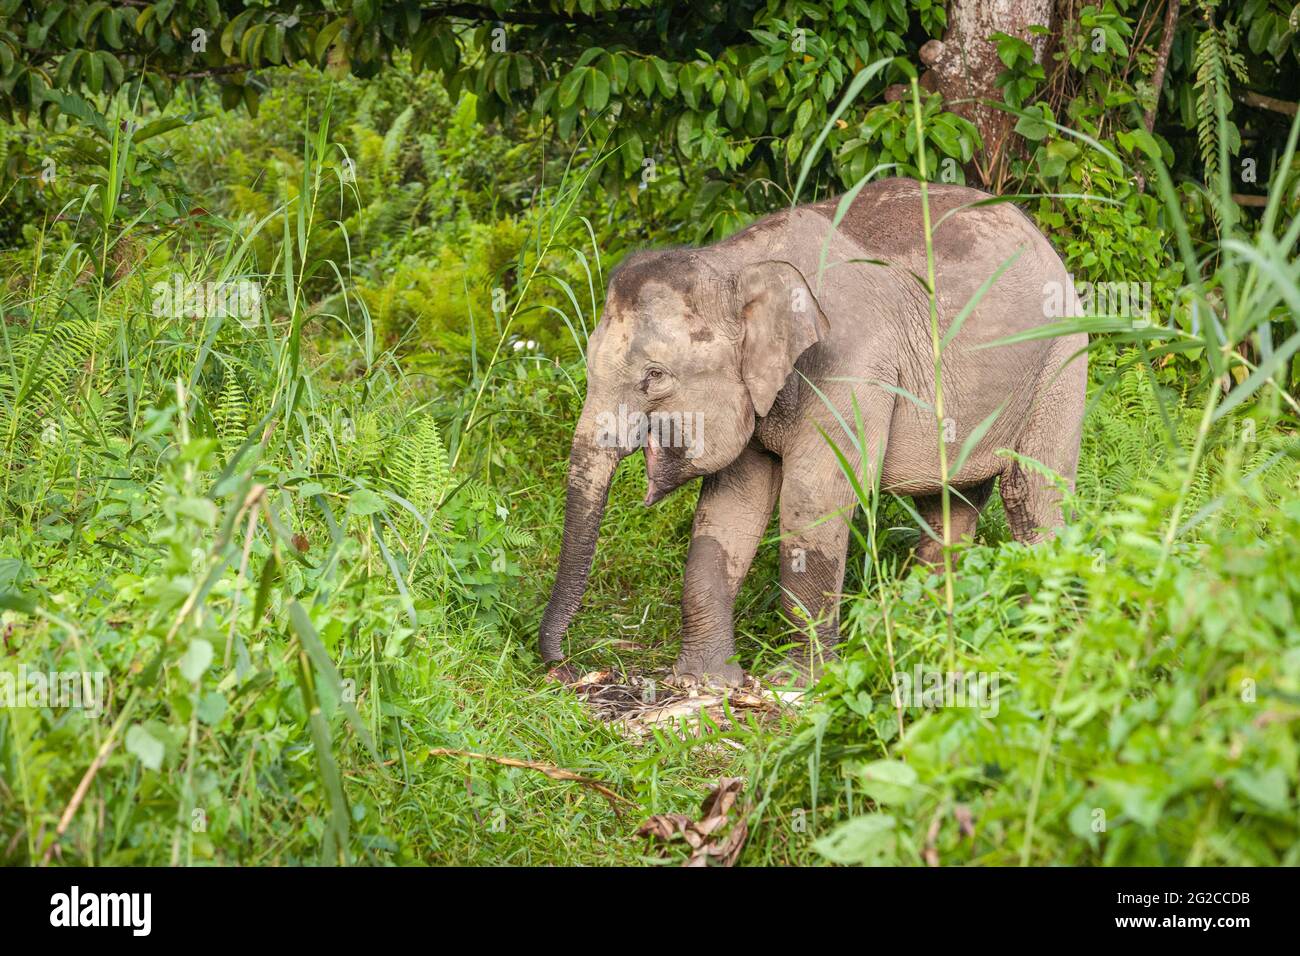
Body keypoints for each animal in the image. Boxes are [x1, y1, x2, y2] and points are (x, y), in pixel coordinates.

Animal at [535, 178, 1086, 686]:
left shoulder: (854, 365)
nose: (565, 666)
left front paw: (798, 684)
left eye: (654, 376)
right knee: (950, 504)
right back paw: (931, 629)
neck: (736, 264)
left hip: (1061, 360)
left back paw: (1045, 635)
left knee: (1031, 492)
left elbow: (814, 496)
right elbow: (731, 505)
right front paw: (705, 682)